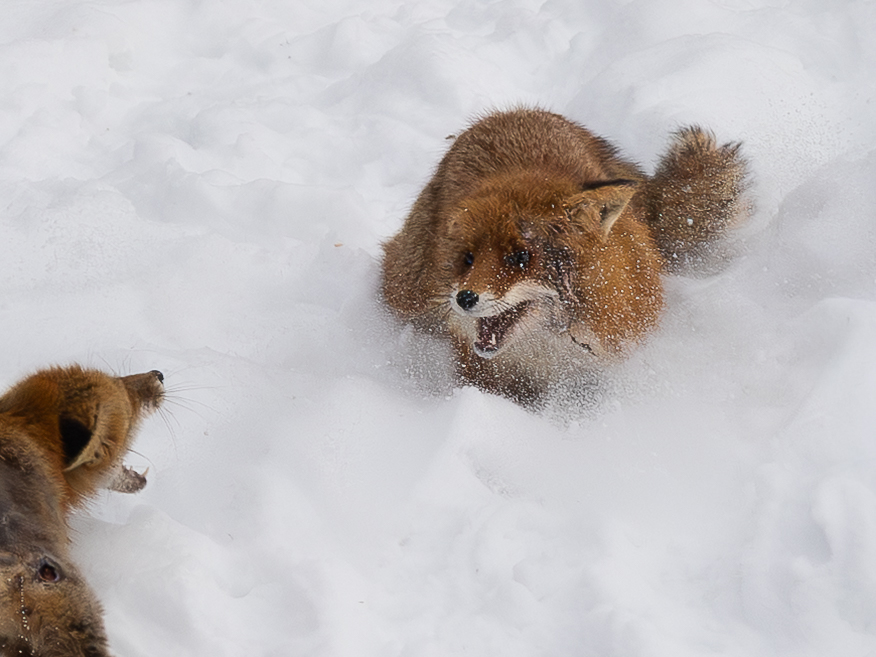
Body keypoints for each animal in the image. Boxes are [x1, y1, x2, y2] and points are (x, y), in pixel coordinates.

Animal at [381, 108, 748, 404]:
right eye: (468, 259)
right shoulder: (484, 369)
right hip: (408, 291)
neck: (550, 345)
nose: (464, 298)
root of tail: (513, 112)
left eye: (520, 257)